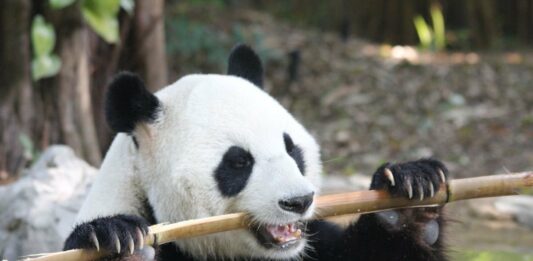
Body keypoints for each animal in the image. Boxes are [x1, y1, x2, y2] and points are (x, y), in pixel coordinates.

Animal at [65, 45, 448, 260]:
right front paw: (116, 240)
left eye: (292, 150)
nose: (298, 202)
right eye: (238, 162)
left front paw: (408, 198)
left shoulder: (314, 247)